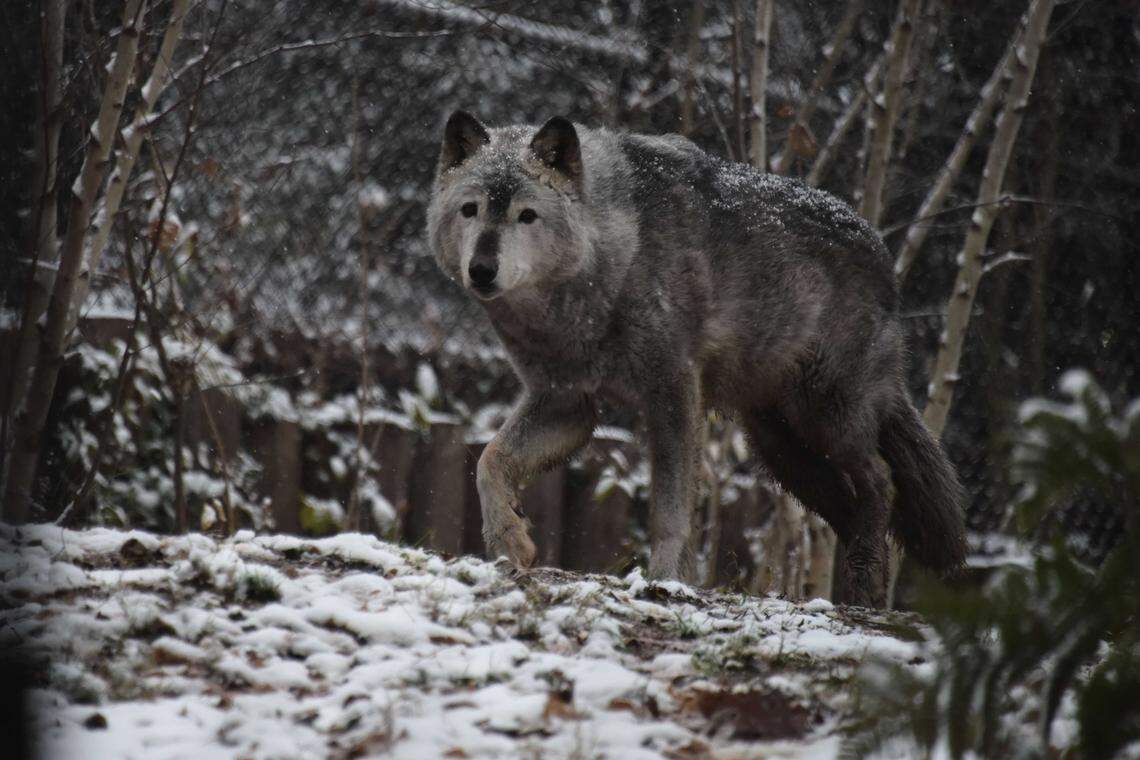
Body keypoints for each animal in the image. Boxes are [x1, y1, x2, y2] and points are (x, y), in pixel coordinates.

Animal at [426, 111, 966, 606]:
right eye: (471, 210)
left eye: (526, 215)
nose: (482, 269)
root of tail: (883, 254)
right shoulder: (567, 404)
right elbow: (489, 461)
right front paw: (508, 542)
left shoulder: (672, 392)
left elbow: (669, 510)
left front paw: (667, 580)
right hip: (782, 451)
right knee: (851, 503)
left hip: (826, 424)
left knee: (881, 482)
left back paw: (866, 589)